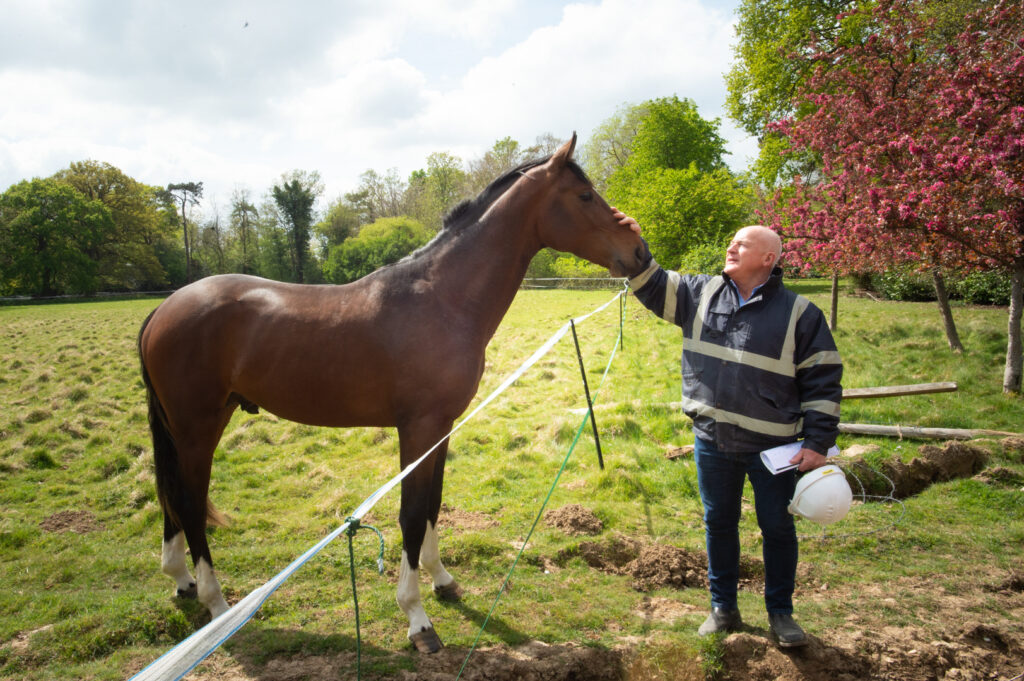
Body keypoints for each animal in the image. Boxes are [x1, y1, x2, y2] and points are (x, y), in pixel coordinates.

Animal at [138, 134, 647, 655]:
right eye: (584, 196)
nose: (640, 252)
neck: (442, 298)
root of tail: (164, 308)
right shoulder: (418, 429)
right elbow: (410, 514)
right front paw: (417, 618)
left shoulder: (441, 429)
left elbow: (433, 506)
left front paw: (442, 580)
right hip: (197, 428)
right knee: (191, 503)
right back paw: (216, 605)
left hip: (202, 424)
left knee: (174, 496)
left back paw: (181, 580)